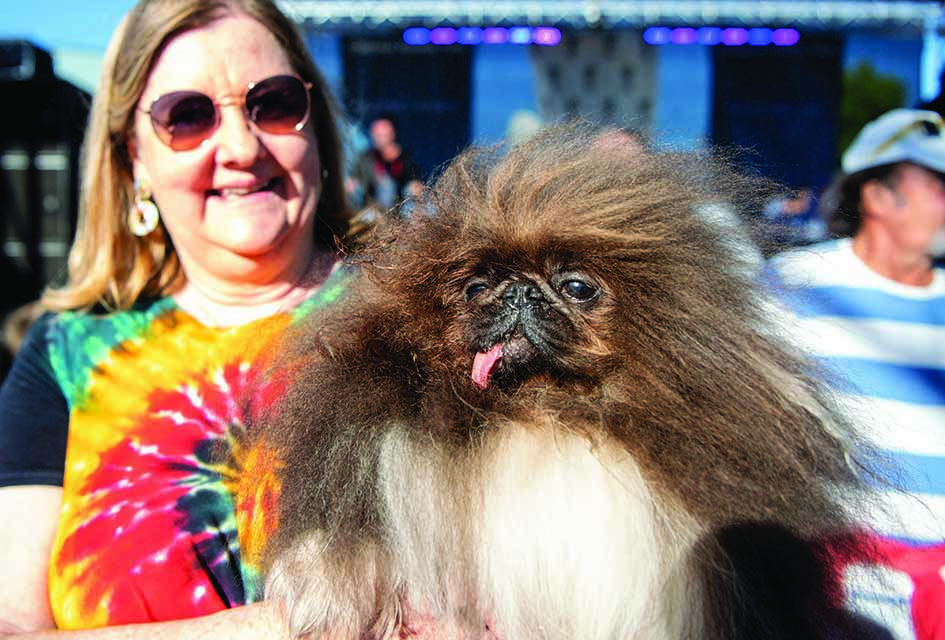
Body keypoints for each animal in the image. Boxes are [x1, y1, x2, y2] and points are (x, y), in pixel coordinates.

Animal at [249, 122, 876, 636]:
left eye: (576, 287)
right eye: (476, 287)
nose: (519, 293)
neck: (543, 411)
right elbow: (344, 537)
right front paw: (328, 595)